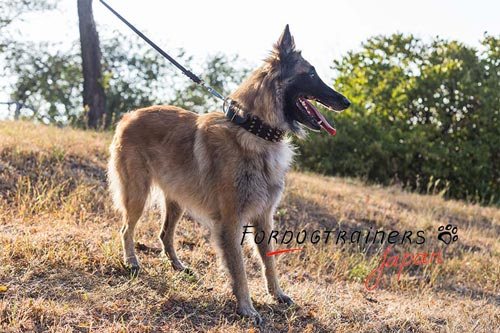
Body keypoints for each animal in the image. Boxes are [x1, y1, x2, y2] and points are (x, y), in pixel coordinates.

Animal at [108, 25, 352, 322]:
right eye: (312, 73)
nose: (346, 101)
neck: (254, 130)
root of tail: (129, 115)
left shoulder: (263, 217)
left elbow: (269, 260)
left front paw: (277, 294)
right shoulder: (231, 221)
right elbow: (239, 270)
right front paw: (247, 307)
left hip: (176, 201)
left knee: (164, 234)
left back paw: (179, 267)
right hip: (137, 194)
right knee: (126, 229)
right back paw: (132, 262)